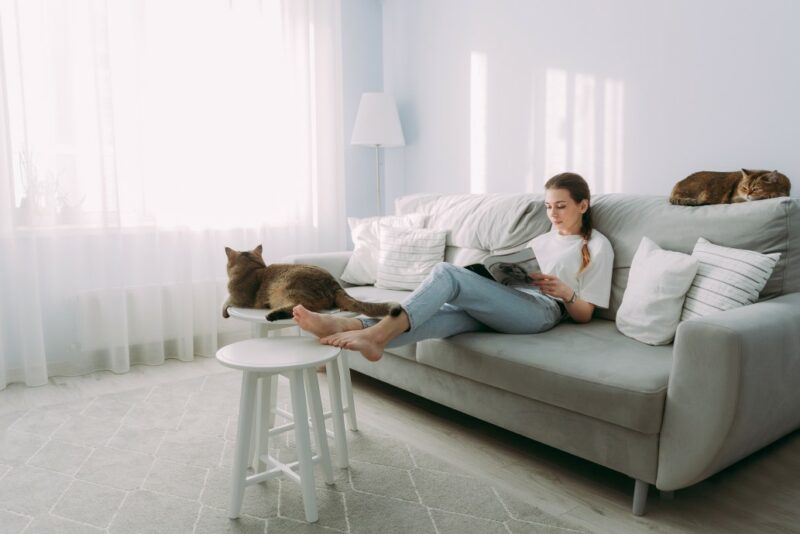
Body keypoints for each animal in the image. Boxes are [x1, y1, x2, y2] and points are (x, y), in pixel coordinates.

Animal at [222, 246, 404, 322]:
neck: (252, 269)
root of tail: (334, 284)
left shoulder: (238, 299)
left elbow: (225, 302)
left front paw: (224, 311)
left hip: (287, 288)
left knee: (304, 308)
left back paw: (274, 314)